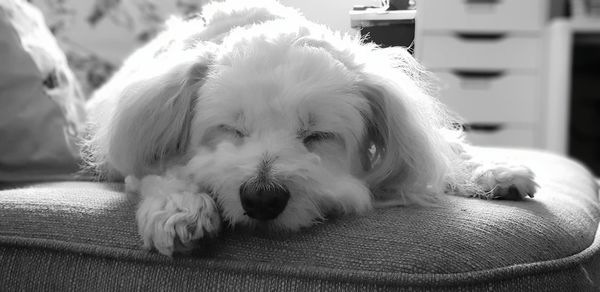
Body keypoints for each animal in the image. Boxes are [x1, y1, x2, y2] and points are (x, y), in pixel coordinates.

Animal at [82, 0, 536, 256]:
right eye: (231, 129)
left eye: (318, 135)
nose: (262, 199)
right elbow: (165, 172)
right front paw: (180, 209)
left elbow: (447, 148)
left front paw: (494, 171)